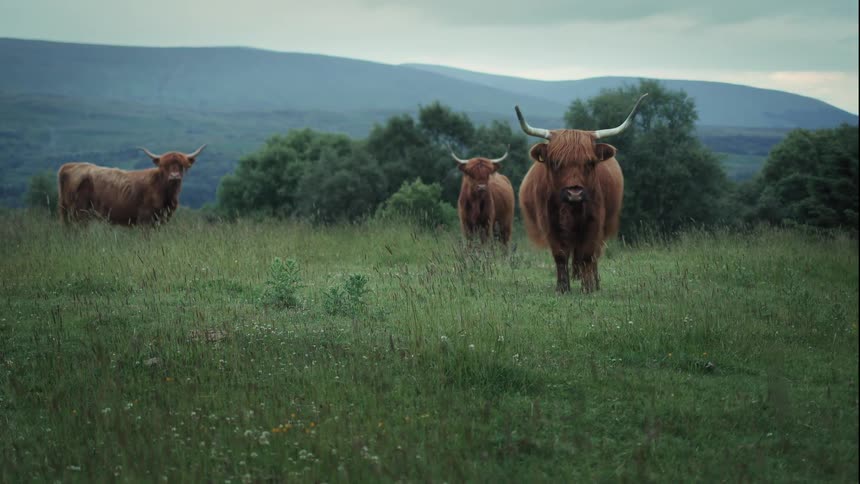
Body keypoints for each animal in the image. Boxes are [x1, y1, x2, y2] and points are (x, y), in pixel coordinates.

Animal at [57, 145, 206, 226]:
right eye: (164, 166)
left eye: (181, 165)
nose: (174, 176)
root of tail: (68, 166)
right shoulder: (145, 218)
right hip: (80, 212)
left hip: (67, 211)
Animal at [515, 94, 647, 293]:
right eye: (555, 162)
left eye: (590, 162)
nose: (575, 193)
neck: (570, 209)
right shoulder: (550, 223)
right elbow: (560, 255)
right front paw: (562, 288)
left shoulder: (594, 223)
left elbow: (587, 255)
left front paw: (589, 287)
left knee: (593, 256)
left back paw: (595, 282)